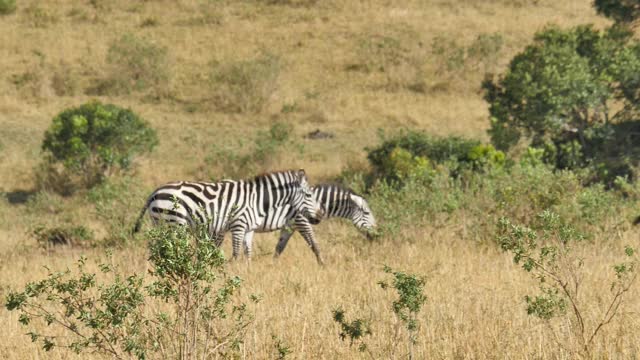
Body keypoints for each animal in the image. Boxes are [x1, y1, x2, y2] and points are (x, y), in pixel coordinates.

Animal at [134, 170, 324, 260]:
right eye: (309, 195)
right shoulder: (238, 226)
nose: (319, 216)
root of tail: (155, 192)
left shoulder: (248, 229)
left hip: (160, 223)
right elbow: (236, 253)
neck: (257, 200)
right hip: (174, 223)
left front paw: (247, 273)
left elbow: (247, 253)